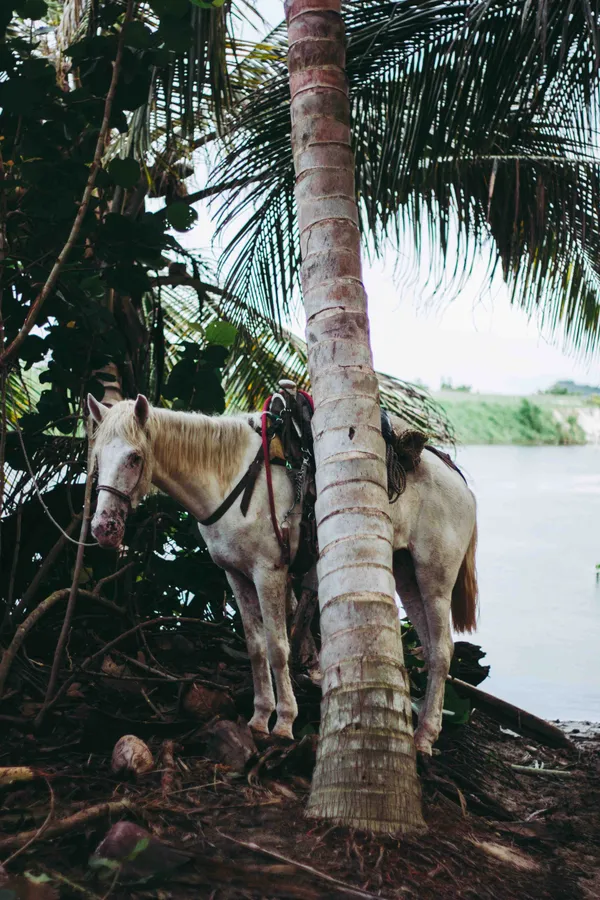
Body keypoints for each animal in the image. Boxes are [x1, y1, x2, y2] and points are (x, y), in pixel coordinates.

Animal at [86, 394, 478, 752]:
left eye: (134, 457)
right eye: (97, 457)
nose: (104, 528)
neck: (231, 479)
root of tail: (459, 480)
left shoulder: (268, 572)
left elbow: (277, 647)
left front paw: (285, 722)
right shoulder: (235, 575)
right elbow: (256, 646)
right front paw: (260, 717)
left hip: (434, 576)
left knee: (442, 650)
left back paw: (425, 736)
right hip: (406, 571)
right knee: (428, 646)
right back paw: (419, 729)